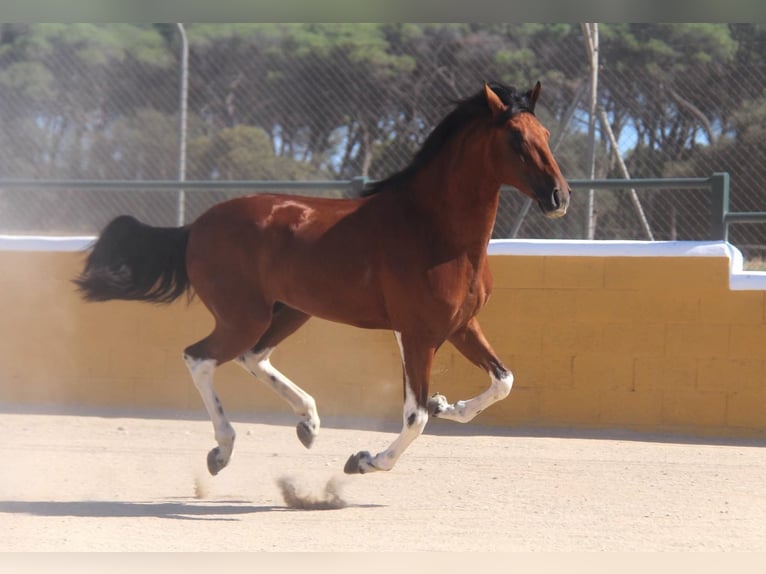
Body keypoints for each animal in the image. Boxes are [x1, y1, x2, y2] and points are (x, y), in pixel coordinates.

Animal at [75, 81, 572, 476]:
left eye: (546, 135)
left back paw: (308, 424)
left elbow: (502, 381)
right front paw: (366, 460)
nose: (559, 197)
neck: (435, 230)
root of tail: (195, 226)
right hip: (243, 316)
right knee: (199, 358)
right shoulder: (416, 333)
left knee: (252, 357)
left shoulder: (461, 326)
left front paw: (446, 404)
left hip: (289, 312)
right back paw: (223, 450)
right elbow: (414, 416)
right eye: (515, 137)